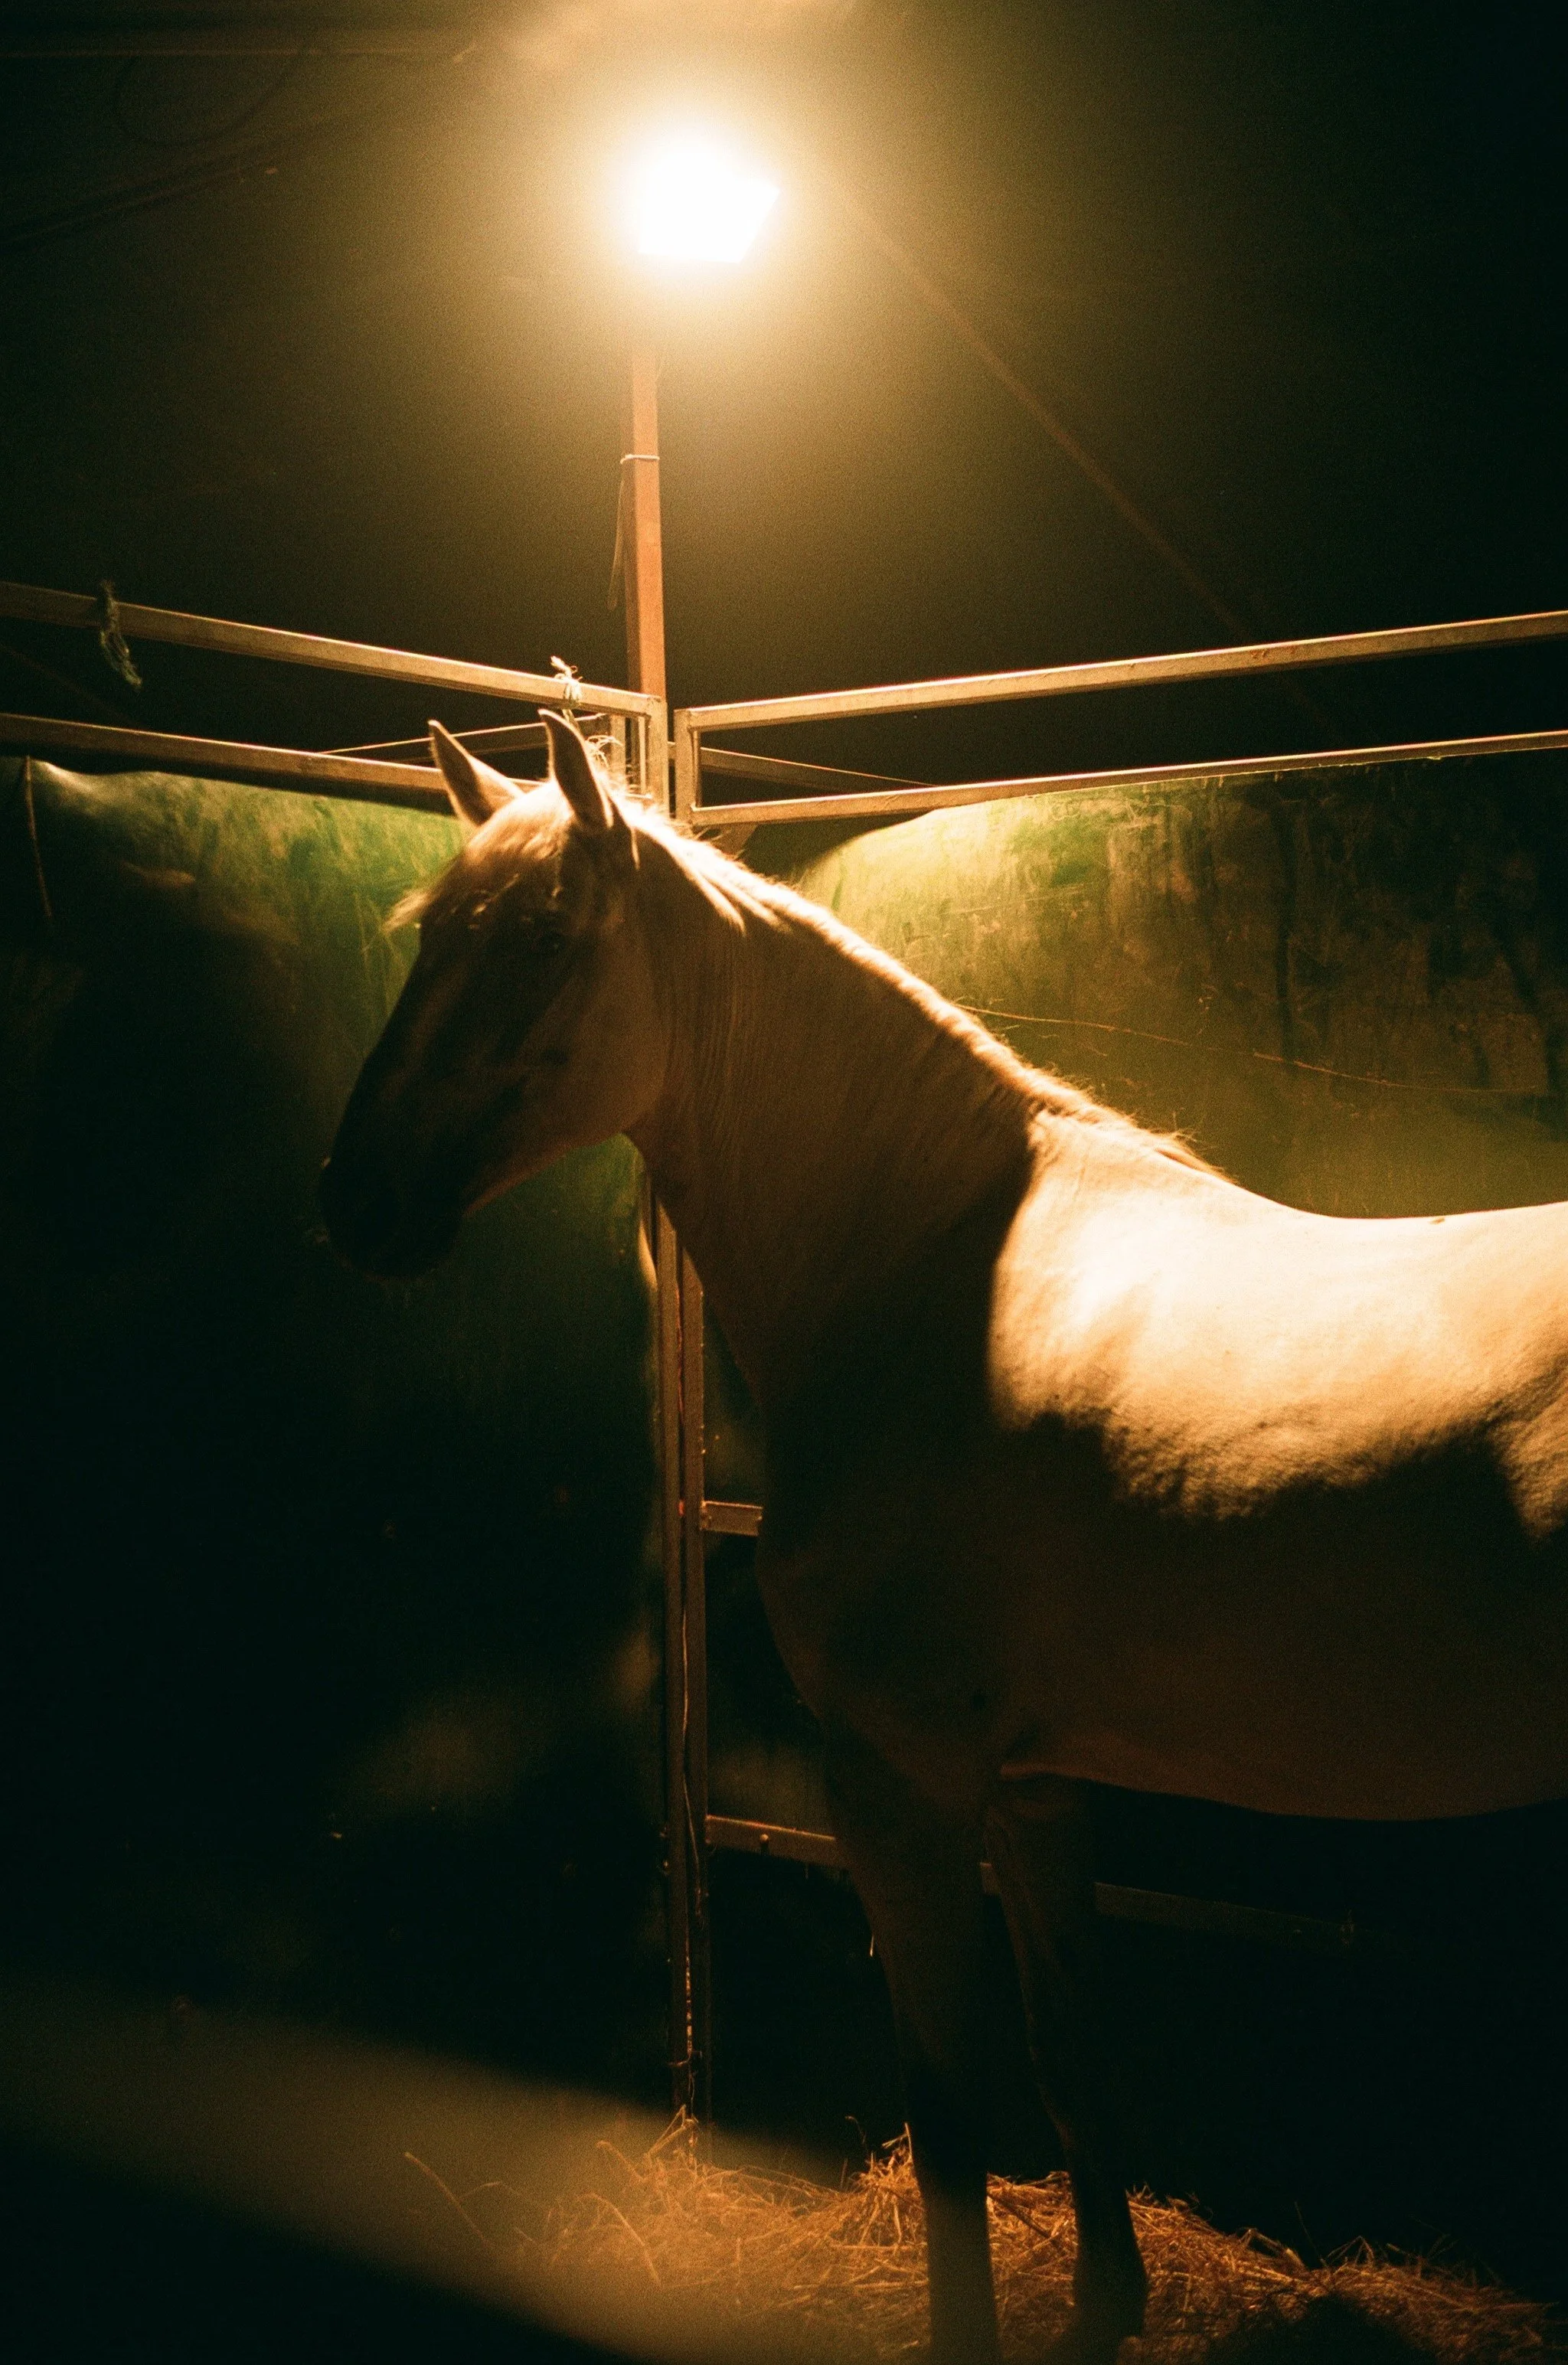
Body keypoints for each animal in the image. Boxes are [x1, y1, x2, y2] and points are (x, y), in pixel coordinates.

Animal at [320, 709, 1568, 2364]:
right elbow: (1073, 2054)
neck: (917, 1262)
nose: (355, 1202)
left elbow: (951, 2115)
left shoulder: (897, 1779)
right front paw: (1104, 2306)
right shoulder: (1034, 1785)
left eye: (535, 934)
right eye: (426, 935)